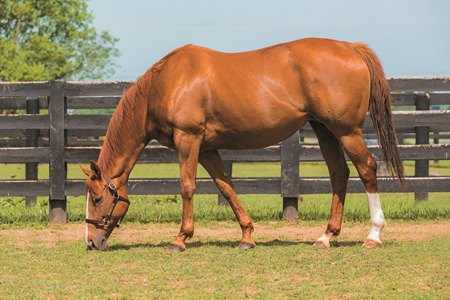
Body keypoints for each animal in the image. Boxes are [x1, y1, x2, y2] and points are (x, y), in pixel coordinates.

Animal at [81, 37, 404, 251]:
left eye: (97, 199)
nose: (91, 242)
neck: (167, 83)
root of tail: (350, 47)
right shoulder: (207, 149)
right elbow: (226, 187)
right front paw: (247, 236)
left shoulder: (188, 139)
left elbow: (187, 187)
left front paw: (180, 239)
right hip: (324, 129)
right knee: (339, 173)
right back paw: (326, 236)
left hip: (346, 130)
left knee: (367, 168)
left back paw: (373, 234)